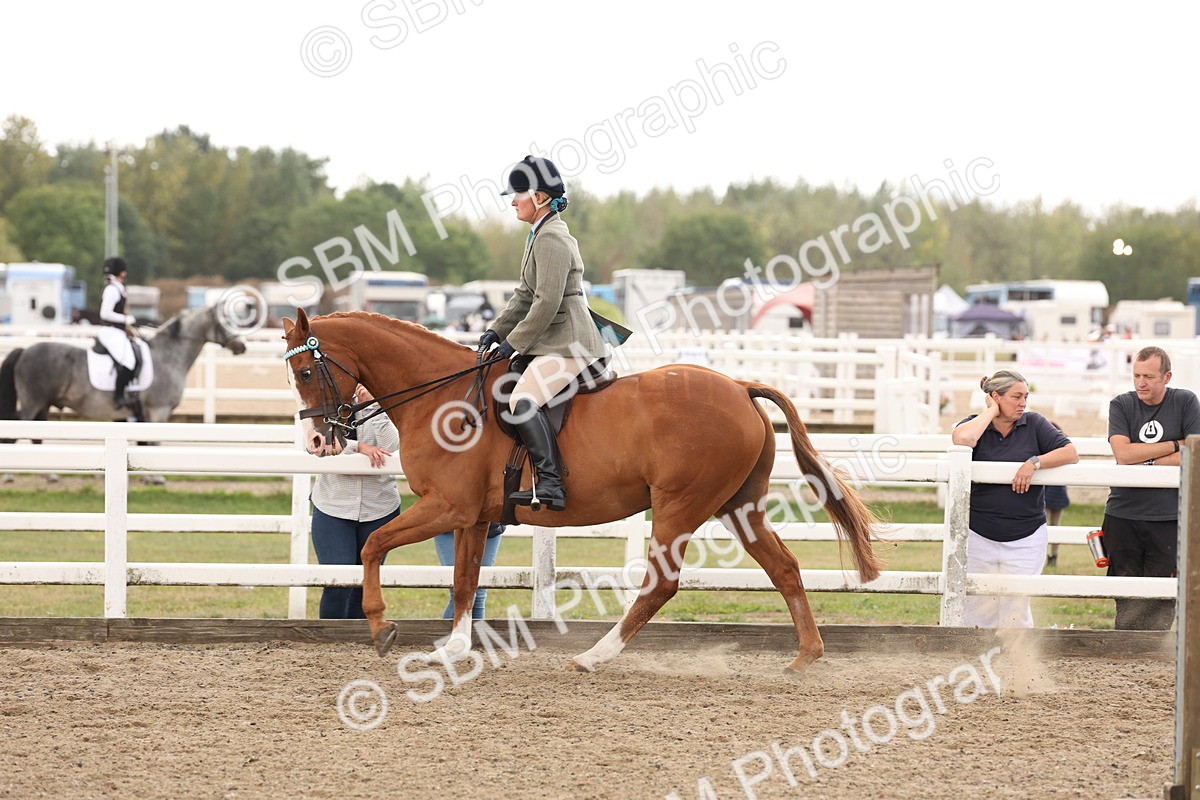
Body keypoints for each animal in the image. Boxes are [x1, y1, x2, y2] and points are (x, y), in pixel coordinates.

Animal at [0, 304, 248, 425]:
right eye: (225, 323)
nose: (242, 346)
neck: (169, 357)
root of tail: (24, 351)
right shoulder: (158, 411)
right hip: (33, 402)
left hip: (44, 404)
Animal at [282, 309, 884, 673]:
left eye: (306, 372)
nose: (317, 439)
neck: (442, 399)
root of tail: (739, 386)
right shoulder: (472, 517)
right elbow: (463, 581)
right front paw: (452, 648)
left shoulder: (445, 507)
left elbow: (372, 545)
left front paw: (382, 627)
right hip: (738, 506)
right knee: (783, 566)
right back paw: (806, 656)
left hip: (680, 506)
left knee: (661, 584)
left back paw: (595, 655)